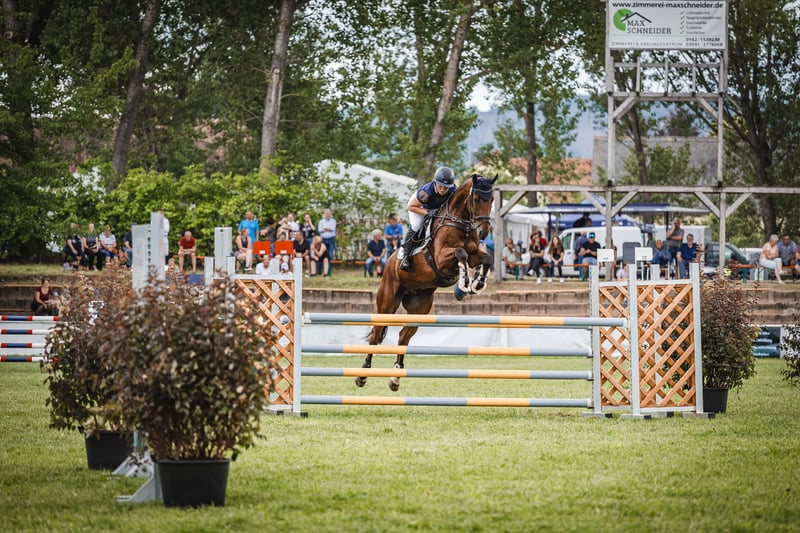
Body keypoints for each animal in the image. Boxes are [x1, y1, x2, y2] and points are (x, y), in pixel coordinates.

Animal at [356, 173, 498, 391]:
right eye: (475, 200)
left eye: (491, 200)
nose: (483, 232)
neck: (460, 223)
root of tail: (388, 264)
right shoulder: (441, 258)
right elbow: (461, 253)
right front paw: (464, 283)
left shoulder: (475, 254)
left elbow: (486, 258)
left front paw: (477, 284)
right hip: (387, 302)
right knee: (376, 334)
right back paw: (363, 374)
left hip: (420, 307)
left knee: (404, 336)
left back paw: (395, 376)